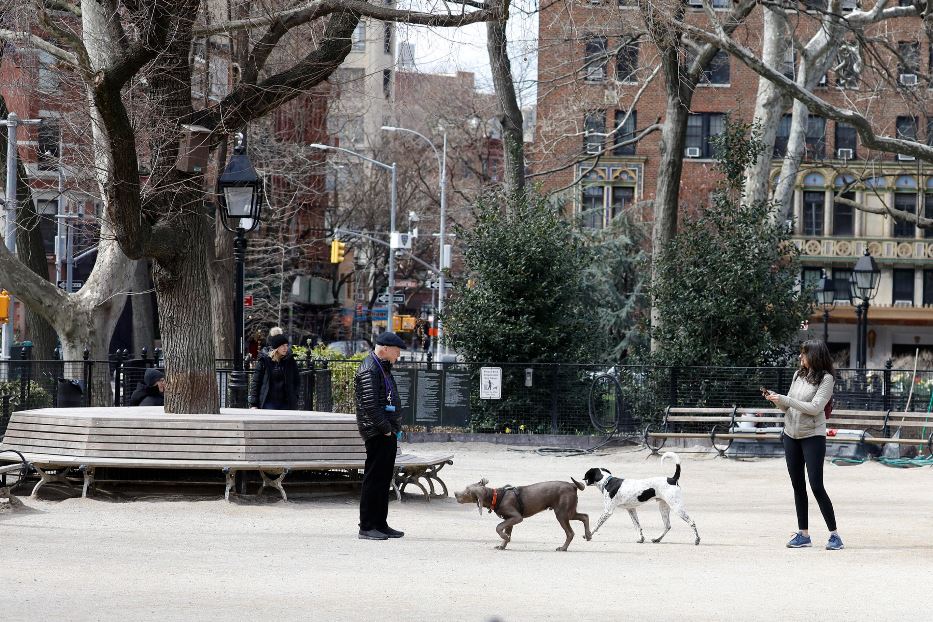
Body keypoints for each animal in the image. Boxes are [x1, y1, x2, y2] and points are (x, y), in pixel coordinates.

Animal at [454, 480, 588, 552]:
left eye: (467, 492)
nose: (455, 493)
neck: (496, 496)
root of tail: (572, 485)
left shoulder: (517, 517)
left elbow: (498, 527)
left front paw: (505, 538)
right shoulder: (509, 519)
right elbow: (505, 531)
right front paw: (502, 545)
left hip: (561, 513)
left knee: (570, 533)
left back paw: (563, 548)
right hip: (568, 512)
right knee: (585, 516)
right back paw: (588, 535)